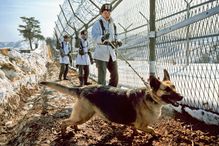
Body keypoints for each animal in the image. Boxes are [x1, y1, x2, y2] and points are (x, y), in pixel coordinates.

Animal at [40, 69, 183, 136]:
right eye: (167, 90)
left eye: (174, 87)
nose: (181, 97)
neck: (151, 98)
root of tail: (82, 88)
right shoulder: (141, 125)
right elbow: (152, 130)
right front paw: (155, 135)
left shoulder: (135, 124)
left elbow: (134, 129)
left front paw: (134, 134)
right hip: (83, 115)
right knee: (64, 122)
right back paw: (64, 134)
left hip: (82, 116)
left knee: (72, 122)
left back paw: (75, 128)